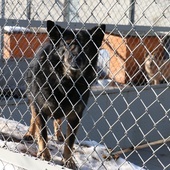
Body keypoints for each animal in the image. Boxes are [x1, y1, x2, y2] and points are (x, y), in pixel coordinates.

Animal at [23, 19, 105, 169]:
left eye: (86, 46)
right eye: (67, 44)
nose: (76, 59)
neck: (67, 82)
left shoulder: (75, 115)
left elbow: (70, 141)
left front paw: (68, 160)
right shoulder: (40, 108)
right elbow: (42, 133)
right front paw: (44, 154)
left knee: (58, 119)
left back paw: (59, 135)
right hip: (33, 99)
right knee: (33, 118)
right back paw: (30, 134)